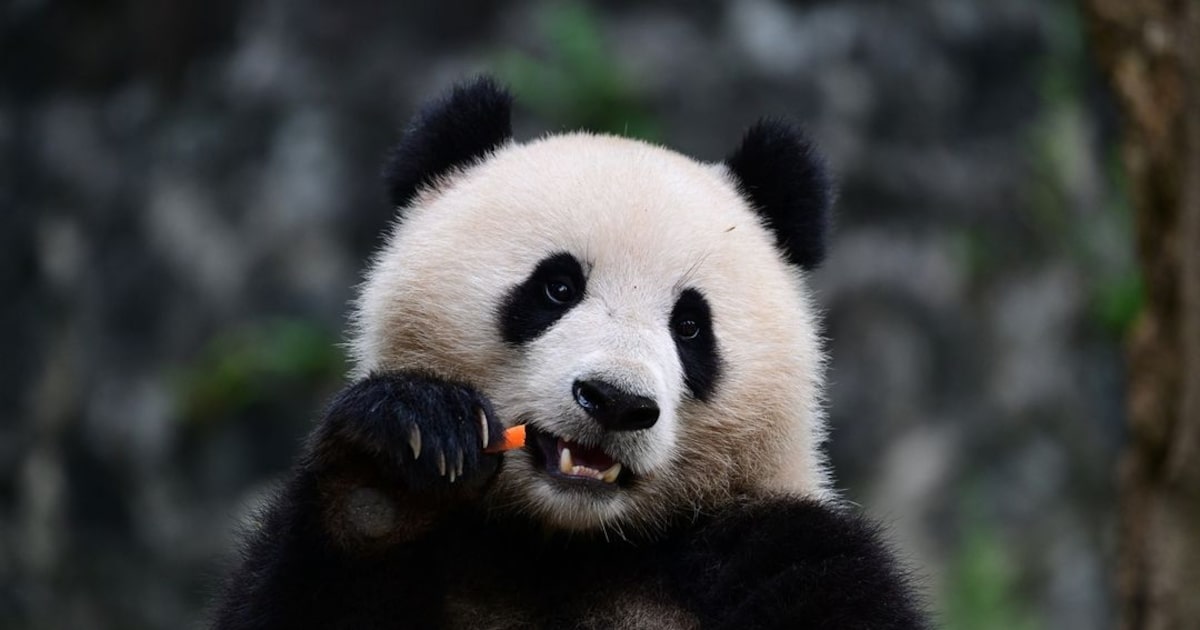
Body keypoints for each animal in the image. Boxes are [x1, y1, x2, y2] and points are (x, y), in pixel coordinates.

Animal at [213, 76, 927, 629]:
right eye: (557, 287)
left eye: (690, 326)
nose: (615, 402)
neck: (567, 543)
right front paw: (391, 473)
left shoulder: (777, 548)